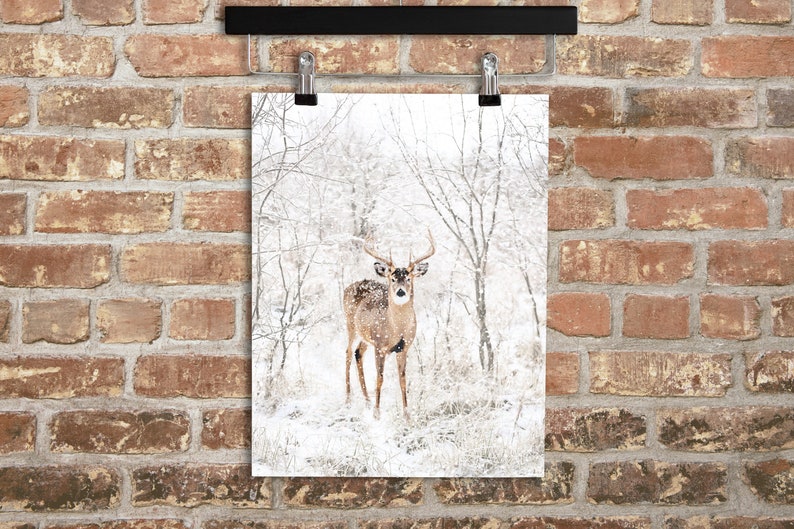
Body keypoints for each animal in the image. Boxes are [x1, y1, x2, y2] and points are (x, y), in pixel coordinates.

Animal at [343, 230, 435, 420]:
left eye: (408, 278)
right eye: (393, 278)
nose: (400, 292)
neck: (396, 329)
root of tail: (348, 287)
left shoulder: (404, 347)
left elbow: (402, 379)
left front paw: (407, 414)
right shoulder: (380, 345)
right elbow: (380, 378)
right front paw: (377, 413)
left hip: (365, 336)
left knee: (358, 353)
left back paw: (367, 401)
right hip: (351, 326)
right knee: (348, 353)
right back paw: (348, 400)